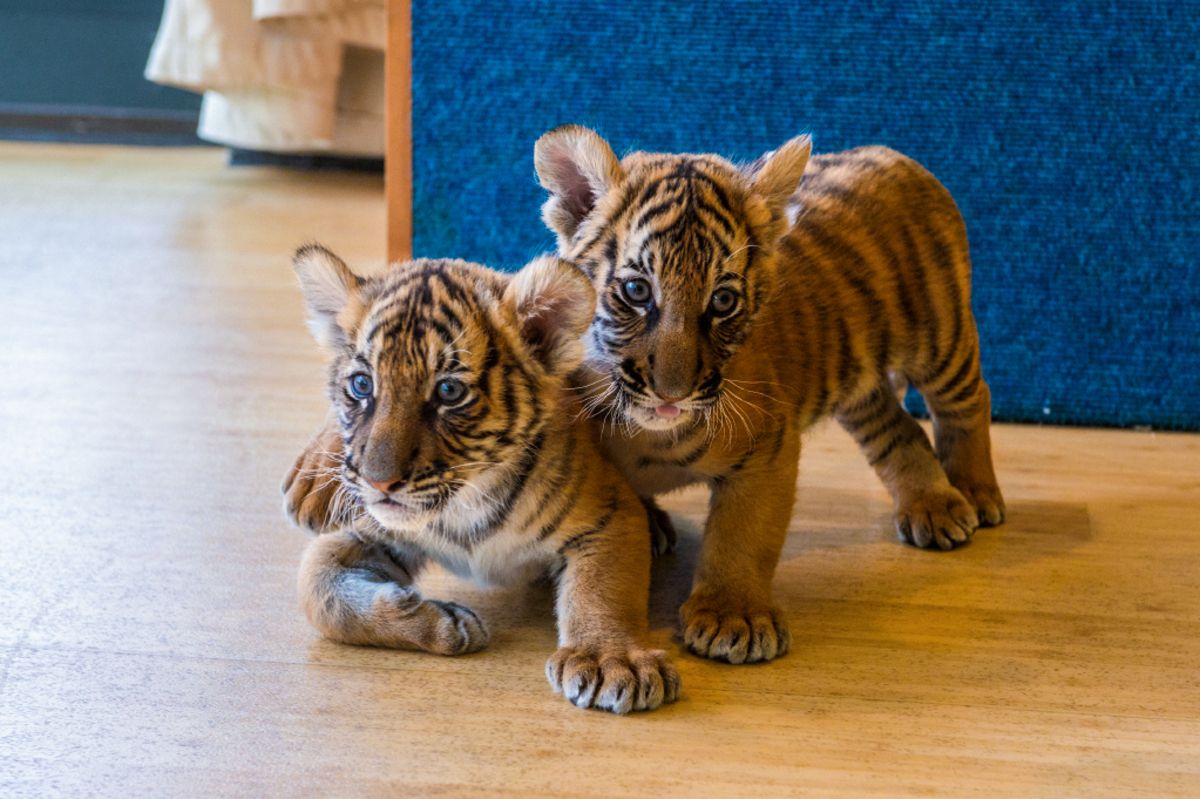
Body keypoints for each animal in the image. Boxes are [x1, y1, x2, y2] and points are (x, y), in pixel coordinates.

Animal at [284, 243, 680, 714]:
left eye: (449, 392)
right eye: (362, 385)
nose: (378, 484)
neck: (465, 504)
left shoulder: (609, 516)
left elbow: (602, 589)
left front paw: (612, 660)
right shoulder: (369, 531)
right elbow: (316, 590)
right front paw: (438, 622)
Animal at [287, 125, 1005, 667]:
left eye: (723, 301)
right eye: (635, 291)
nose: (672, 391)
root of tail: (889, 151)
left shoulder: (768, 450)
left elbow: (744, 533)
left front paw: (732, 615)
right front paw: (318, 477)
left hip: (941, 337)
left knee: (968, 401)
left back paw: (972, 494)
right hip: (859, 379)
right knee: (892, 425)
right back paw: (930, 504)